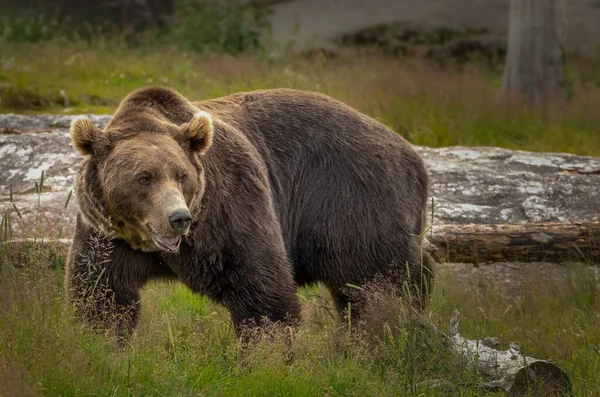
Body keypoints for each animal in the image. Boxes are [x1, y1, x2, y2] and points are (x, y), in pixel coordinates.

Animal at [64, 86, 432, 338]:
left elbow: (261, 288)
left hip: (351, 199)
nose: (178, 218)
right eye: (144, 177)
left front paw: (264, 357)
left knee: (379, 282)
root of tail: (413, 156)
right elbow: (102, 294)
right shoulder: (106, 234)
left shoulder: (228, 208)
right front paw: (103, 341)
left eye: (182, 176)